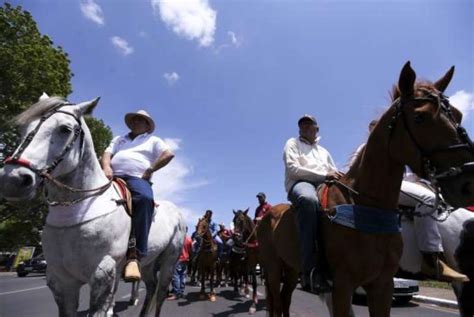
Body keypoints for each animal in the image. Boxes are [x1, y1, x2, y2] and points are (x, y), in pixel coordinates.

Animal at [0, 97, 185, 316]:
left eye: (65, 129)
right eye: (22, 128)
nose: (12, 180)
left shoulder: (102, 273)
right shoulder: (60, 281)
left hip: (169, 260)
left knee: (161, 291)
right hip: (149, 262)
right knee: (151, 287)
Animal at [258, 61, 474, 316]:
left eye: (459, 115)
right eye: (419, 117)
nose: (467, 183)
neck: (365, 204)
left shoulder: (382, 285)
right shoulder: (342, 286)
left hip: (291, 268)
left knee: (284, 299)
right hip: (273, 268)